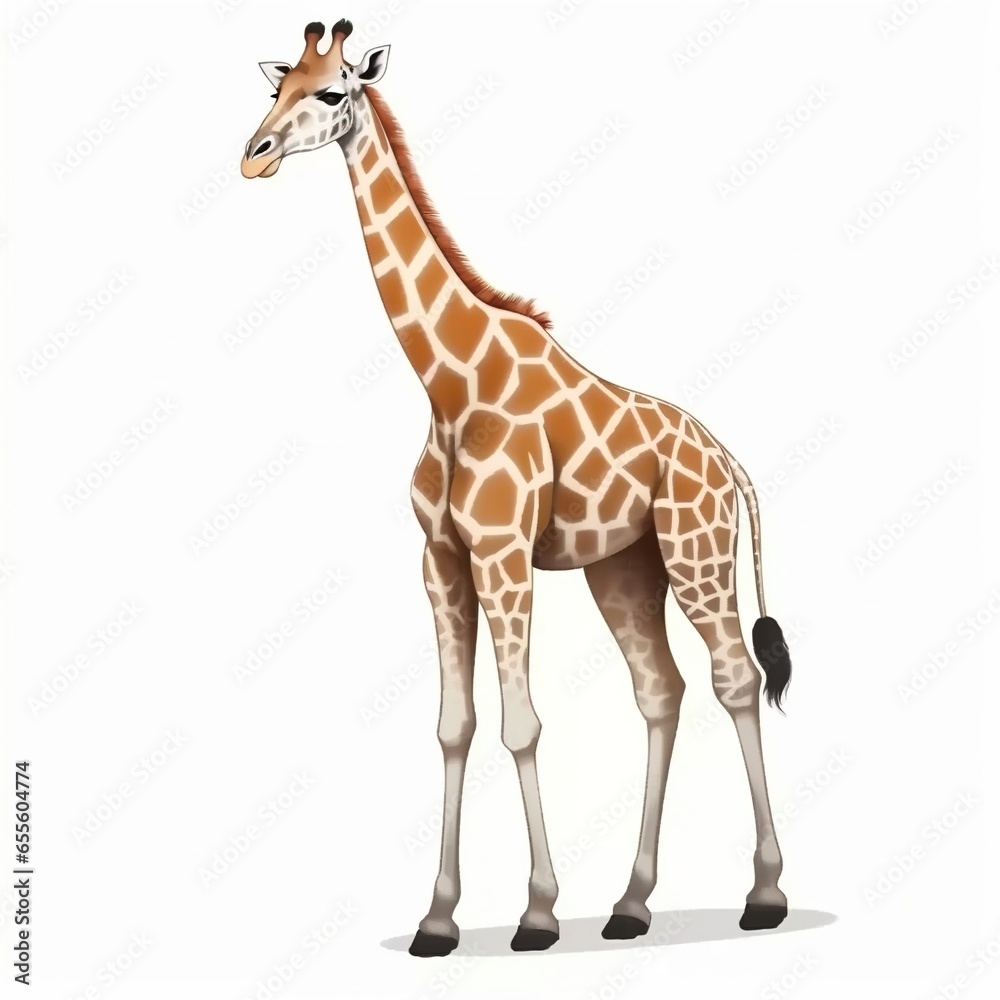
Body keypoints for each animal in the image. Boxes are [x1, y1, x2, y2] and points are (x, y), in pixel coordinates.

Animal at [241, 19, 793, 957]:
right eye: (276, 89)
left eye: (332, 91)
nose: (255, 156)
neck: (448, 378)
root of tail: (728, 461)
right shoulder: (441, 560)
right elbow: (454, 726)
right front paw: (437, 920)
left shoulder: (503, 554)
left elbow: (520, 723)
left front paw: (536, 914)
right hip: (624, 568)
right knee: (661, 692)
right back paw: (630, 905)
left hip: (695, 552)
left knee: (735, 678)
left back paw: (764, 894)